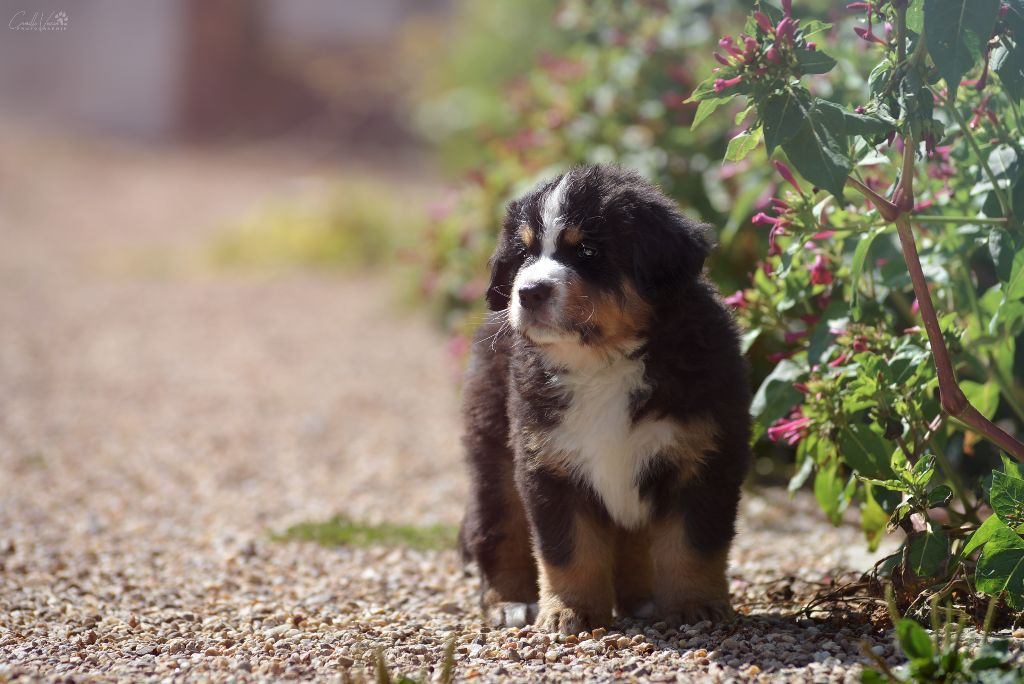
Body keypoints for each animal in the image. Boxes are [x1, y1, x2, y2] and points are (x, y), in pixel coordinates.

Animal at [458, 164, 751, 635]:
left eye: (588, 251)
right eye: (523, 254)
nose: (529, 292)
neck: (602, 362)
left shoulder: (703, 456)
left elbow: (692, 544)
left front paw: (696, 605)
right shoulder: (547, 460)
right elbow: (567, 549)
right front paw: (568, 611)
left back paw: (643, 599)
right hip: (493, 450)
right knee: (498, 527)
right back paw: (511, 602)